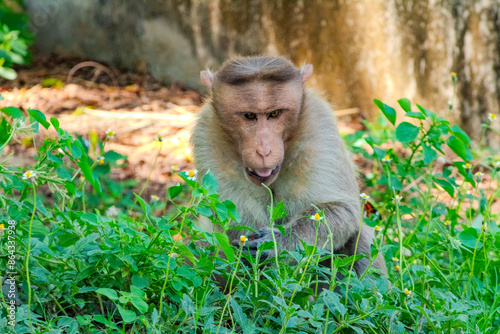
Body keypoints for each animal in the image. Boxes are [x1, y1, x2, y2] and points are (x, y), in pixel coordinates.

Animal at [191, 56, 386, 278]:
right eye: (249, 116)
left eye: (274, 114)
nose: (264, 150)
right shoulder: (206, 133)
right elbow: (232, 222)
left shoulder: (319, 123)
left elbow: (342, 210)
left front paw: (277, 244)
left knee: (360, 236)